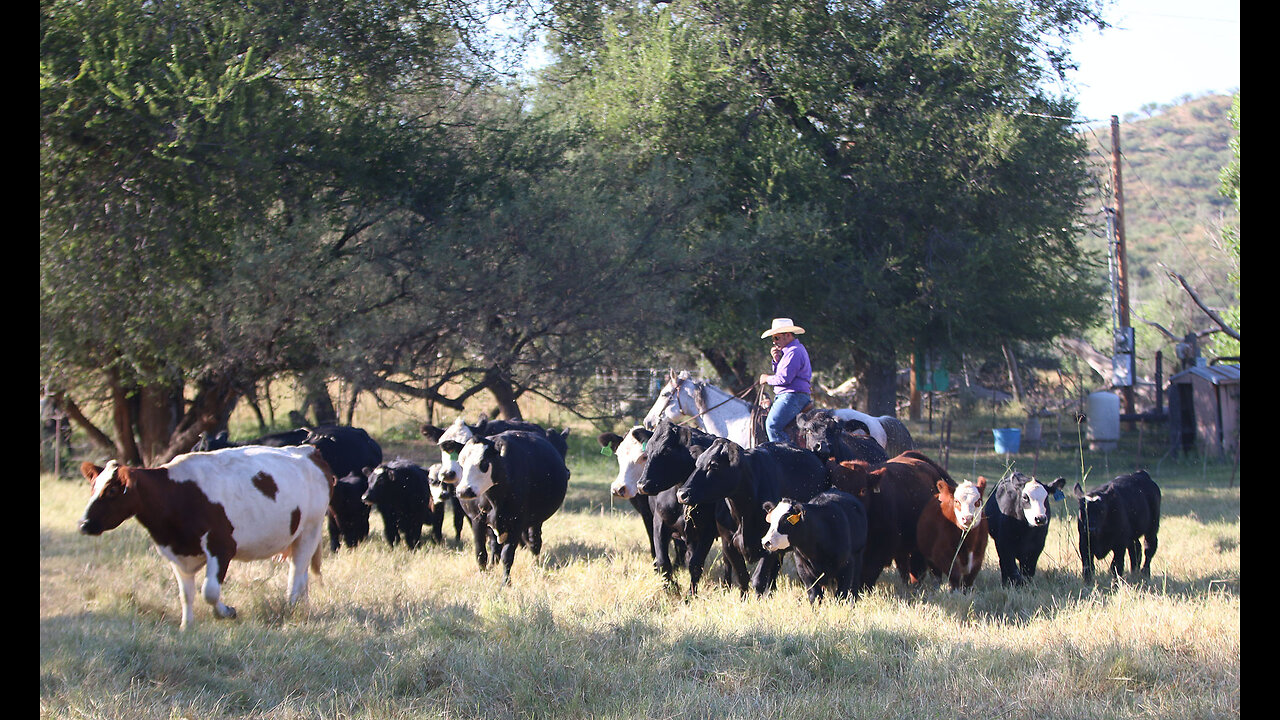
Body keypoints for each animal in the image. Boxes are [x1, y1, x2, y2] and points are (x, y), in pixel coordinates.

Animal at [76, 443, 332, 627]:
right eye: (93, 487)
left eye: (112, 490)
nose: (83, 524)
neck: (175, 494)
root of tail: (308, 451)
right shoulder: (175, 553)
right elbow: (185, 594)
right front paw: (186, 626)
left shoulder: (222, 546)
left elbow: (209, 590)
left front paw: (227, 612)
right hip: (297, 537)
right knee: (302, 573)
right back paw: (301, 606)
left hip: (310, 530)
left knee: (297, 573)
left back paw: (291, 607)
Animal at [453, 427, 568, 579]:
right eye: (461, 464)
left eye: (483, 463)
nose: (463, 491)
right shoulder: (477, 520)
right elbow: (480, 553)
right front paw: (484, 576)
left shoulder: (517, 523)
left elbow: (507, 556)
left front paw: (506, 582)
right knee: (494, 546)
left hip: (535, 521)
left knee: (534, 542)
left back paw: (535, 566)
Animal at [680, 438, 829, 594]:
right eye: (698, 463)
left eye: (713, 465)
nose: (682, 494)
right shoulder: (728, 544)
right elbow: (742, 578)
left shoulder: (768, 544)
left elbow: (759, 580)